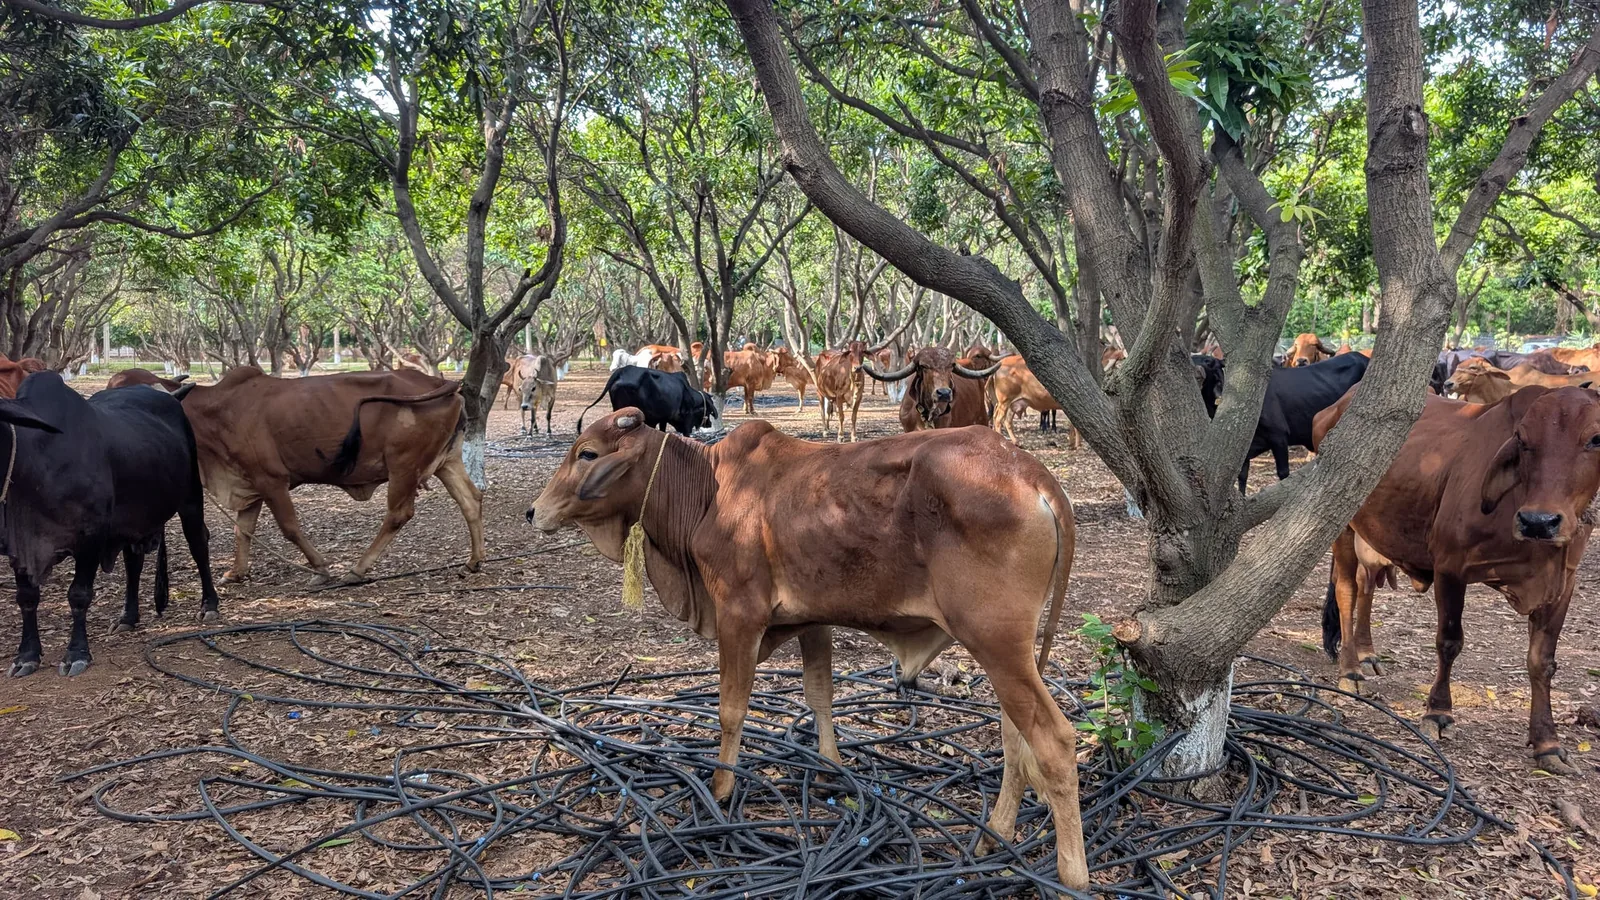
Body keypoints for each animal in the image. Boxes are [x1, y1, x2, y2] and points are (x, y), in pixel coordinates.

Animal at [1, 373, 221, 678]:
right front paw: (26, 656)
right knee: (134, 562)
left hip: (190, 498)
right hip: (133, 522)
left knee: (198, 543)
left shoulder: (90, 539)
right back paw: (128, 616)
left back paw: (209, 605)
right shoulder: (19, 546)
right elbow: (27, 597)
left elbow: (79, 595)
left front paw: (76, 654)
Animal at [179, 367, 484, 584]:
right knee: (471, 500)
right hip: (447, 461)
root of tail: (436, 382)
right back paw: (475, 560)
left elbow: (289, 528)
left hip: (403, 465)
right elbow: (242, 530)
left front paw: (321, 569)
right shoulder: (249, 480)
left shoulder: (271, 480)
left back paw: (357, 569)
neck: (218, 409)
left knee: (399, 514)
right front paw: (236, 573)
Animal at [528, 410, 1090, 890]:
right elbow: (819, 693)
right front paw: (828, 769)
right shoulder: (811, 620)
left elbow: (731, 709)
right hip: (1010, 653)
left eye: (587, 453)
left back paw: (1072, 875)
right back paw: (995, 837)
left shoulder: (738, 615)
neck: (710, 488)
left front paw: (721, 791)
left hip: (997, 643)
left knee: (1055, 741)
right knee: (1015, 736)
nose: (535, 512)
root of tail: (1032, 473)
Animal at [1314, 386, 1600, 776]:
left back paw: (1367, 652)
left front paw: (1547, 743)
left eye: (1596, 439)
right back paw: (1351, 670)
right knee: (1347, 589)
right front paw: (1438, 712)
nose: (1538, 521)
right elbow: (1449, 642)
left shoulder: (1561, 584)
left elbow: (1542, 661)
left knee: (1366, 586)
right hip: (1343, 525)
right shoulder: (1450, 568)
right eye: (1522, 440)